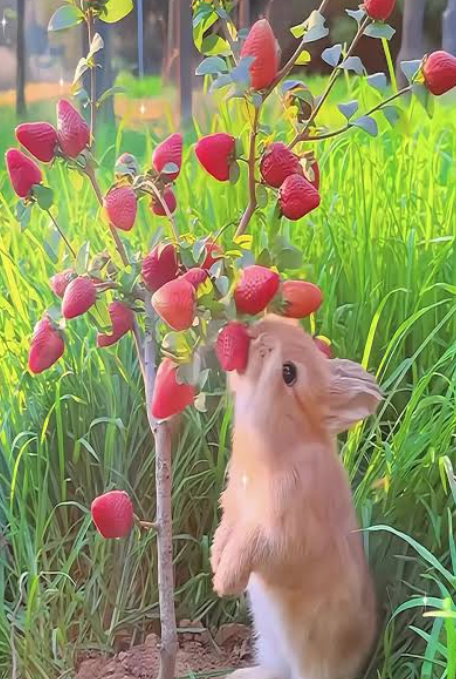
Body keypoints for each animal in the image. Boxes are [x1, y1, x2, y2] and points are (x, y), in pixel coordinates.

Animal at [211, 315, 382, 679]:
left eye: (288, 373)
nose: (259, 331)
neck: (282, 438)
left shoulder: (281, 530)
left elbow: (251, 547)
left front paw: (225, 581)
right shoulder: (235, 508)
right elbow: (226, 533)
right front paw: (216, 563)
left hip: (310, 654)